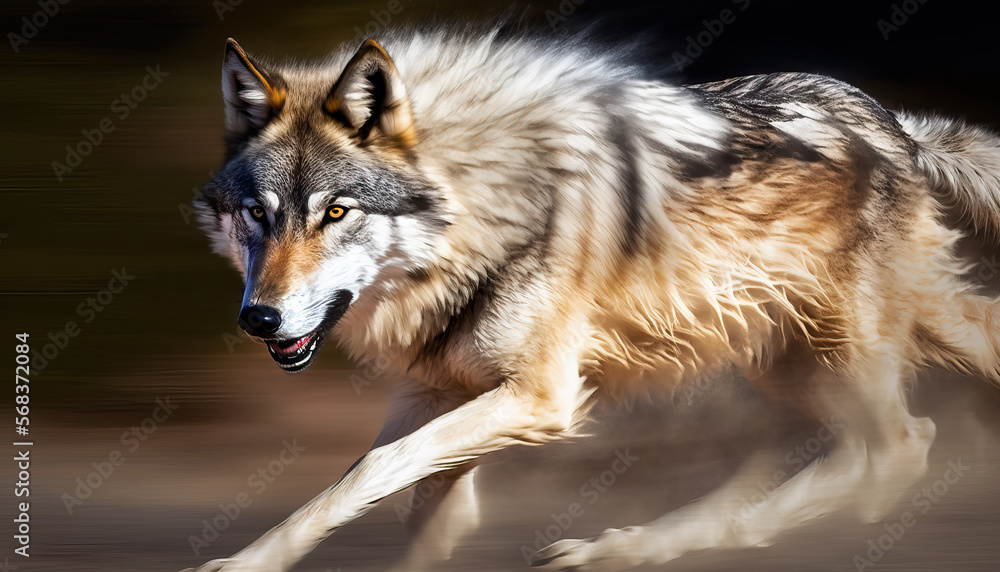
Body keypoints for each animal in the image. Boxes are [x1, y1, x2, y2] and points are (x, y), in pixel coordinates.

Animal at [187, 24, 1000, 571]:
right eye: (257, 213)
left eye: (335, 212)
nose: (258, 319)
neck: (483, 218)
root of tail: (898, 128)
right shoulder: (435, 389)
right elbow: (399, 496)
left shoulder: (540, 397)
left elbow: (372, 471)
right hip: (781, 358)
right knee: (846, 451)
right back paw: (640, 544)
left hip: (834, 354)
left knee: (900, 447)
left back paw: (641, 546)